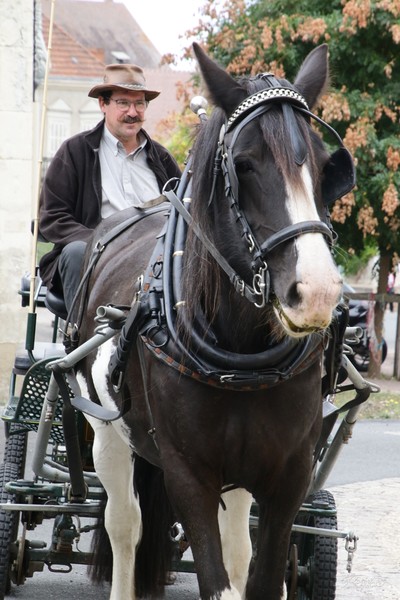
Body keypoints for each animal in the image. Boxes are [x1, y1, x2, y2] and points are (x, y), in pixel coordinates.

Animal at [73, 43, 354, 600]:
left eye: (322, 167)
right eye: (243, 165)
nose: (316, 292)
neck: (239, 352)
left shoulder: (288, 473)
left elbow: (256, 572)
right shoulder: (188, 473)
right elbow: (211, 575)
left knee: (234, 543)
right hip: (107, 431)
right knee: (124, 524)